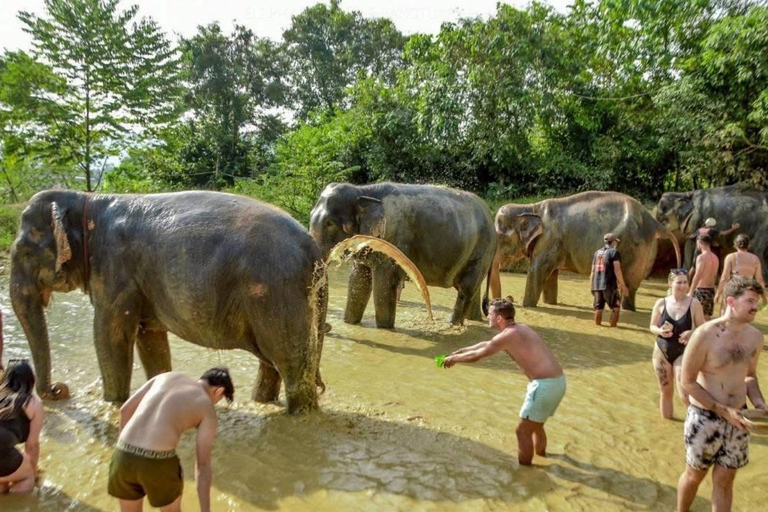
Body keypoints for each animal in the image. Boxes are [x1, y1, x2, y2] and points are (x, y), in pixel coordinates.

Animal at [10, 190, 327, 414]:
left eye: (24, 252)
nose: (60, 390)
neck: (86, 199)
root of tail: (314, 249)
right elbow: (150, 341)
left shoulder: (114, 270)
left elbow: (109, 337)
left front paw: (112, 405)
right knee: (273, 362)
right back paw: (263, 403)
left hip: (277, 292)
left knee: (291, 364)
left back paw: (299, 417)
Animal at [309, 182, 497, 328]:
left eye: (329, 223)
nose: (329, 326)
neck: (364, 191)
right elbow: (359, 280)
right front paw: (350, 323)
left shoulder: (393, 242)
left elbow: (384, 285)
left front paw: (384, 329)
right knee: (472, 290)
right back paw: (474, 321)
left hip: (483, 248)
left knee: (466, 289)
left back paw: (452, 325)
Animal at [493, 191, 681, 311]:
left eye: (500, 237)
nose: (507, 299)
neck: (530, 207)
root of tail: (653, 222)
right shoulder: (552, 243)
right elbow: (551, 274)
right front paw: (550, 303)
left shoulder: (549, 238)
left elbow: (537, 270)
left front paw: (525, 305)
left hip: (635, 247)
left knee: (629, 282)